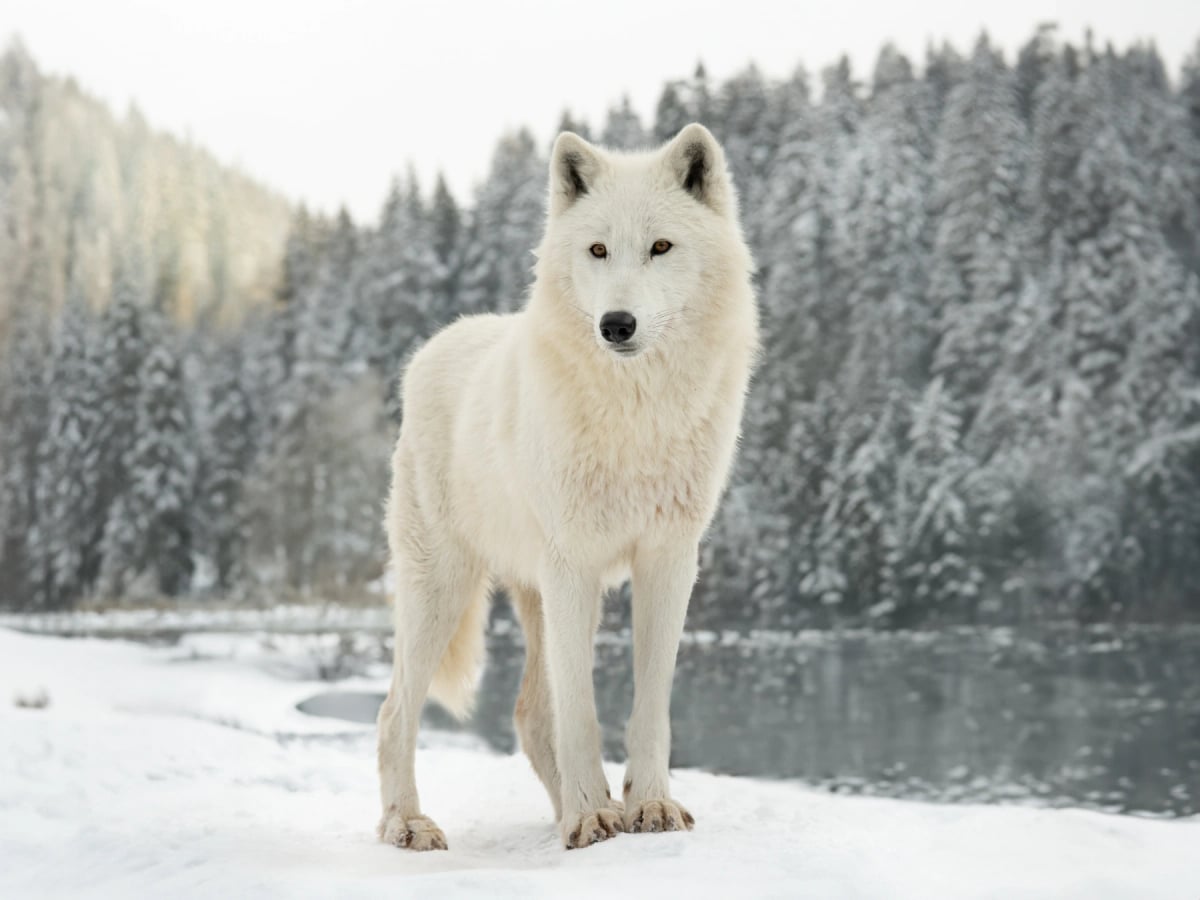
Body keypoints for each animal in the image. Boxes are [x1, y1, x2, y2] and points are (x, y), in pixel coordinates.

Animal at [376, 122, 759, 850]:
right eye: (598, 250)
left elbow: (649, 705)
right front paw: (590, 818)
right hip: (443, 588)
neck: (636, 417)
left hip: (529, 595)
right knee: (394, 712)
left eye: (661, 247)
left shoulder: (669, 559)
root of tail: (434, 345)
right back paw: (407, 823)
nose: (616, 324)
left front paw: (646, 807)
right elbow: (581, 711)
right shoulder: (573, 566)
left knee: (527, 713)